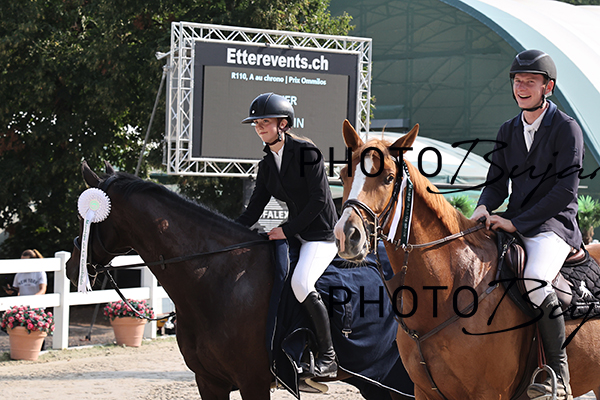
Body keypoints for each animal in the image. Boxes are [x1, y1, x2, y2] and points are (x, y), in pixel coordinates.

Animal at [64, 161, 411, 400]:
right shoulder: (210, 382)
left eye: (84, 216)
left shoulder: (252, 381)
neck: (218, 277)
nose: (69, 267)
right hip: (376, 380)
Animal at [333, 120, 600, 399]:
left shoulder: (491, 392)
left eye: (388, 178)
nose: (346, 235)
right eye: (343, 175)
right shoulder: (424, 391)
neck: (448, 289)